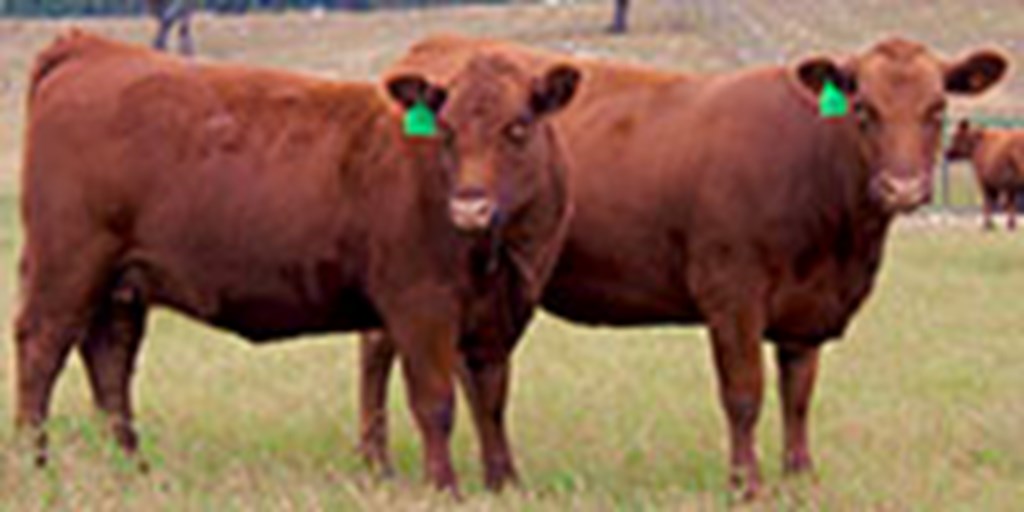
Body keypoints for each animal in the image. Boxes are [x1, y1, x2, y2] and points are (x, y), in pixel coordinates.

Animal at [16, 29, 581, 493]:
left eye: (518, 127)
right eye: (446, 130)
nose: (470, 206)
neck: (498, 256)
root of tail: (93, 48)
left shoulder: (496, 316)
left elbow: (491, 401)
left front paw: (504, 484)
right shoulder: (420, 305)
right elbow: (436, 402)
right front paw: (445, 488)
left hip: (121, 284)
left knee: (110, 362)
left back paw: (134, 470)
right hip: (66, 266)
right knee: (41, 351)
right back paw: (33, 464)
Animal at [360, 34, 1007, 497]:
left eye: (937, 107)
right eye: (864, 109)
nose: (903, 187)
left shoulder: (806, 309)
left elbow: (798, 394)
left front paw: (801, 475)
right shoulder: (732, 291)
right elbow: (744, 394)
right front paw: (747, 485)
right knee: (385, 352)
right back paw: (380, 462)